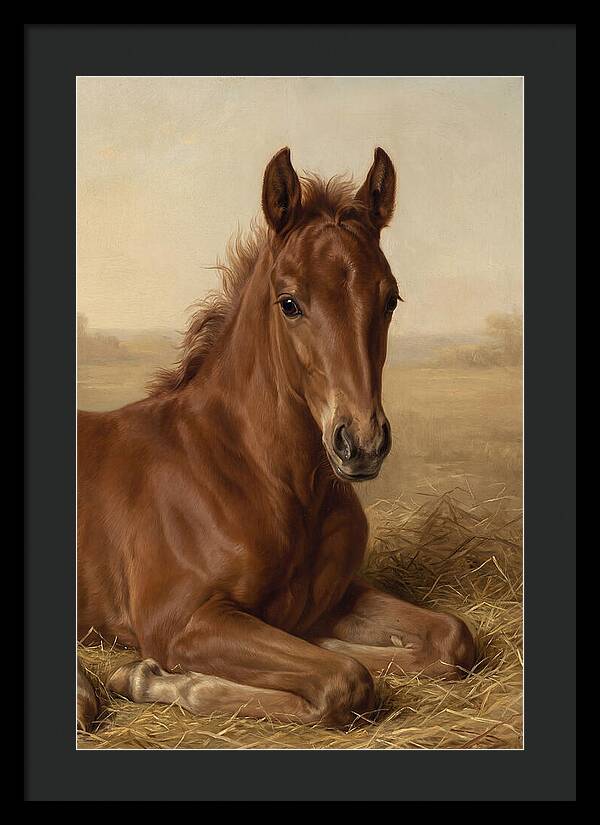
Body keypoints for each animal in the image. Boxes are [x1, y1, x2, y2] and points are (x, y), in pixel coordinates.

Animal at [77, 147, 476, 732]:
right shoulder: (180, 621)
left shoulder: (334, 597)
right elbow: (344, 679)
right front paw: (149, 677)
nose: (362, 443)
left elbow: (450, 639)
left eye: (391, 299)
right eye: (289, 303)